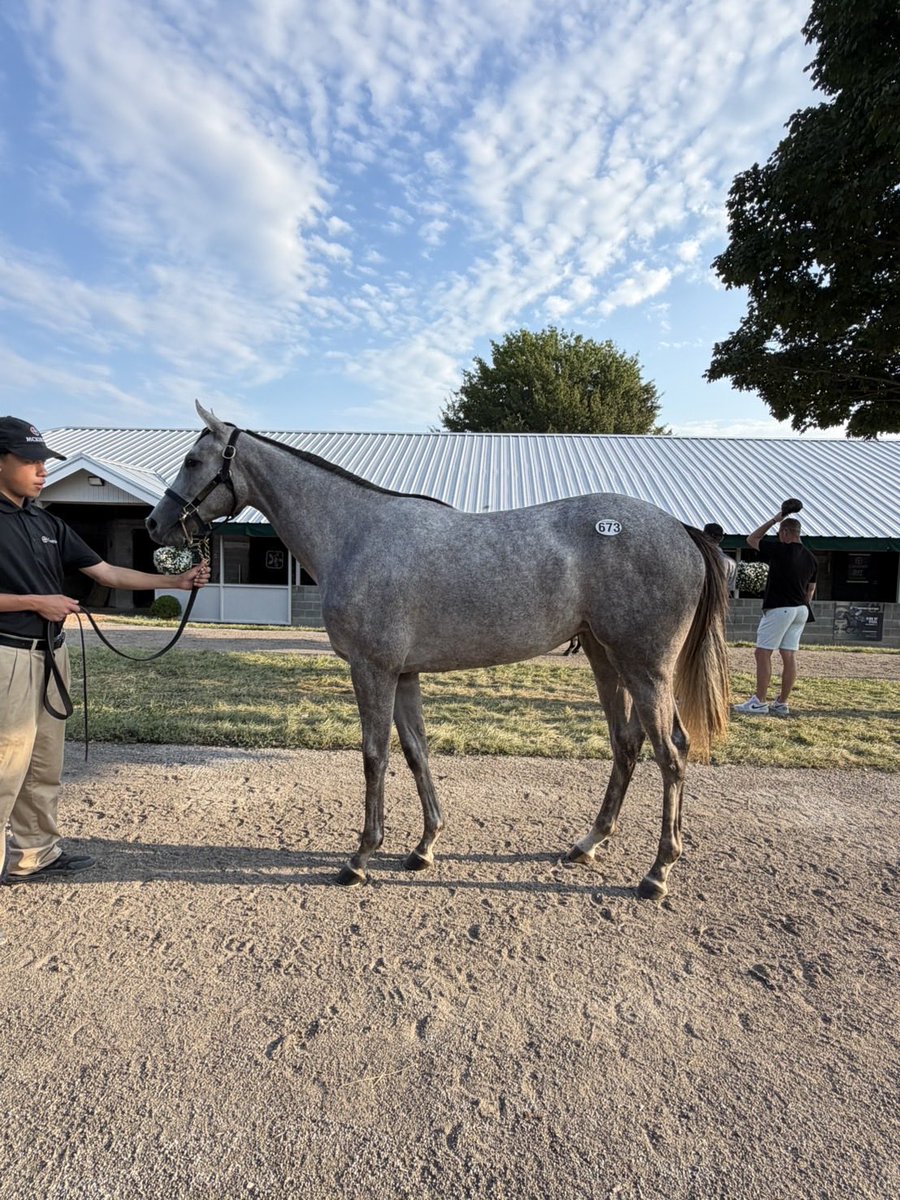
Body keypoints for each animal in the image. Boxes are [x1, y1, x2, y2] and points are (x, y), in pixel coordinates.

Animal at [146, 403, 730, 901]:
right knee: (628, 744)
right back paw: (588, 844)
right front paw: (424, 847)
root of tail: (682, 532)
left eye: (193, 460)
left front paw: (360, 857)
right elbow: (415, 751)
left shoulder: (373, 671)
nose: (156, 524)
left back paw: (657, 873)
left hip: (645, 669)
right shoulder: (404, 675)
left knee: (670, 754)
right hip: (607, 659)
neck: (355, 534)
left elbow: (374, 755)